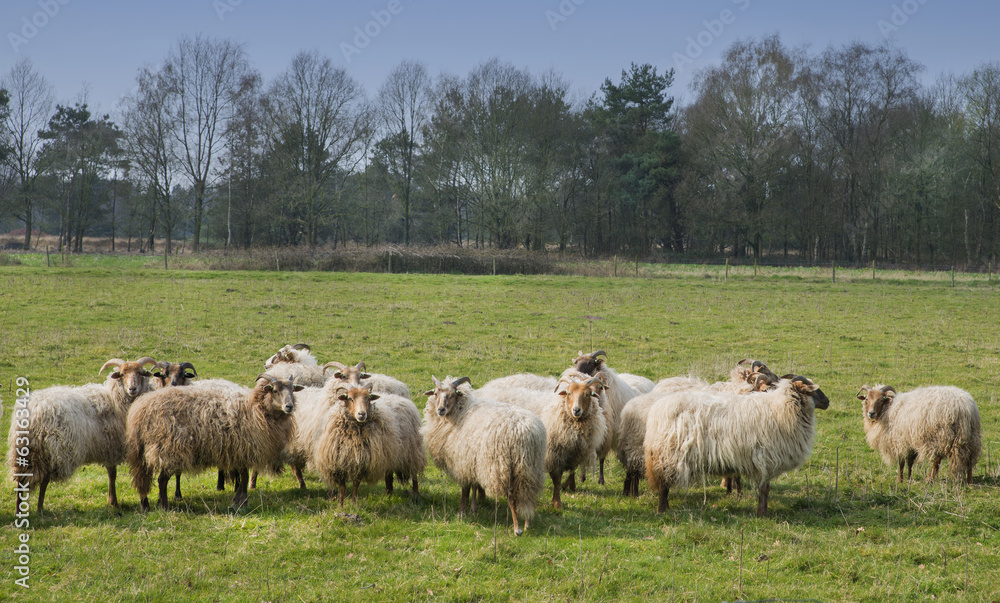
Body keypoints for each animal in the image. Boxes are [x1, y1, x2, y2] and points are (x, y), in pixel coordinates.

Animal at [8, 357, 157, 514]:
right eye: (122, 374)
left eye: (140, 373)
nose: (132, 389)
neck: (114, 400)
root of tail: (33, 410)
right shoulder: (111, 447)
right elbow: (113, 474)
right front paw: (114, 502)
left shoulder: (109, 447)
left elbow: (111, 474)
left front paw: (112, 501)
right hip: (53, 449)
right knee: (43, 481)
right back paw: (39, 509)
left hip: (28, 450)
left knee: (22, 480)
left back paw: (19, 510)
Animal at [126, 374, 303, 511]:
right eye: (275, 390)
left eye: (292, 390)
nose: (289, 406)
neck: (256, 409)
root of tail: (139, 412)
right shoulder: (244, 449)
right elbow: (245, 477)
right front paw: (241, 503)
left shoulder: (239, 452)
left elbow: (243, 476)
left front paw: (238, 501)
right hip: (169, 449)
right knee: (161, 480)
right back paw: (164, 506)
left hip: (142, 453)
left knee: (142, 479)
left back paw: (146, 506)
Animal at [422, 376, 546, 536]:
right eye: (436, 393)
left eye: (453, 394)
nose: (440, 409)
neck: (460, 411)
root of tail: (525, 432)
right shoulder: (473, 459)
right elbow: (475, 485)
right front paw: (473, 508)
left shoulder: (462, 461)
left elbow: (465, 488)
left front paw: (462, 511)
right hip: (530, 468)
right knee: (528, 494)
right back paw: (528, 523)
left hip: (503, 466)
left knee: (512, 497)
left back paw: (517, 528)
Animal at [478, 370, 606, 508]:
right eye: (569, 393)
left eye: (587, 394)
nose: (576, 410)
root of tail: (485, 389)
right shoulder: (553, 455)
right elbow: (557, 480)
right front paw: (557, 503)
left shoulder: (574, 453)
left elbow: (571, 471)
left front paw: (568, 487)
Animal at [645, 375, 829, 516]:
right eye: (812, 390)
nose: (827, 401)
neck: (780, 409)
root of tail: (657, 411)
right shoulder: (766, 459)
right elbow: (764, 489)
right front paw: (762, 514)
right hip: (668, 455)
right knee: (663, 485)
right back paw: (662, 510)